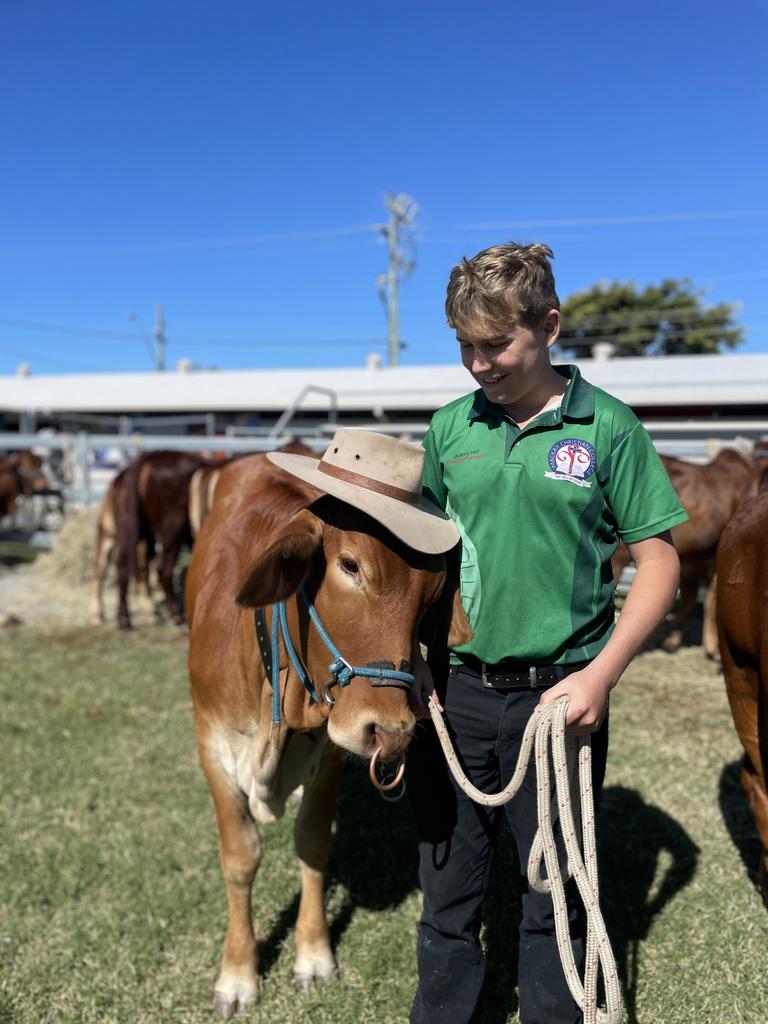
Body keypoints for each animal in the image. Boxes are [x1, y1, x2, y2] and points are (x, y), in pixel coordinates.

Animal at [188, 436, 468, 1011]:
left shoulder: (332, 751)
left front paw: (314, 954)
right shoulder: (212, 743)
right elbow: (240, 857)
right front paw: (238, 972)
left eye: (432, 594)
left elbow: (313, 842)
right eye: (350, 566)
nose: (392, 730)